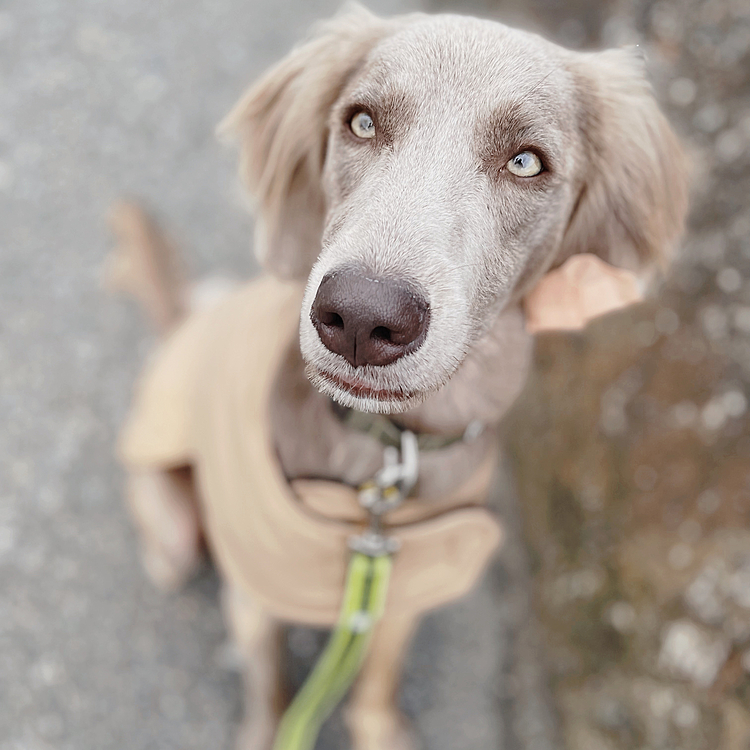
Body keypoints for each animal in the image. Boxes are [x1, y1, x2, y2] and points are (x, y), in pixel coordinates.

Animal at [110, 7, 688, 750]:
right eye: (361, 122)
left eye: (526, 161)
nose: (360, 316)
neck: (384, 458)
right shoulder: (254, 588)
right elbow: (268, 684)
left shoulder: (409, 579)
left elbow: (378, 680)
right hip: (177, 516)